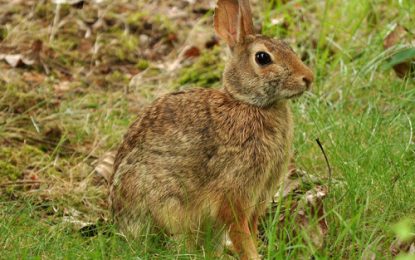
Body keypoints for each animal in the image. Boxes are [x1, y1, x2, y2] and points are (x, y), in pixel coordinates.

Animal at [109, 0, 314, 258]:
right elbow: (240, 230)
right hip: (167, 206)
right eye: (262, 58)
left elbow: (252, 227)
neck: (249, 103)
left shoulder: (260, 195)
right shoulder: (233, 190)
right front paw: (252, 255)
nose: (308, 78)